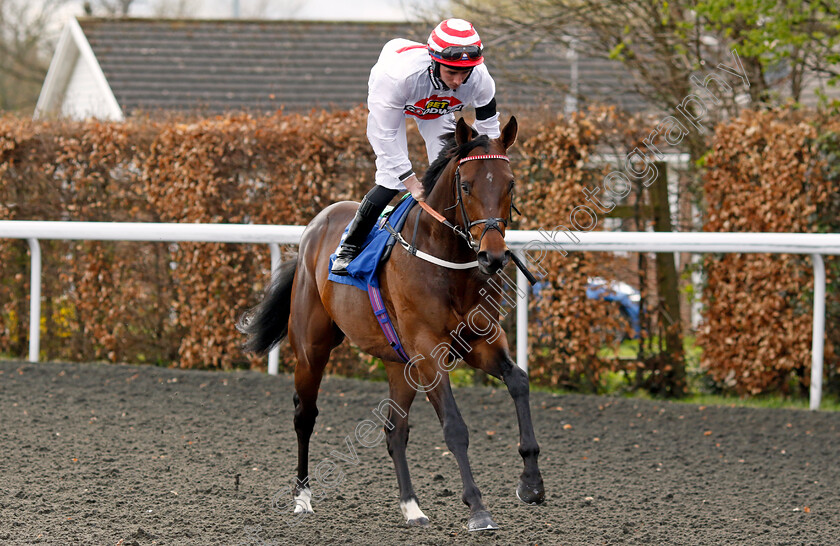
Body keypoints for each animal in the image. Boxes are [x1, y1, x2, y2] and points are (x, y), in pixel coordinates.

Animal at [240, 117, 548, 528]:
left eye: (510, 183)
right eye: (466, 186)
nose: (493, 256)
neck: (448, 265)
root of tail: (314, 227)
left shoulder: (480, 341)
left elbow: (519, 382)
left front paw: (531, 482)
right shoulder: (428, 351)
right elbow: (454, 426)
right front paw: (478, 507)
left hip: (398, 363)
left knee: (394, 431)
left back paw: (411, 506)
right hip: (311, 349)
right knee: (305, 416)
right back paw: (302, 496)